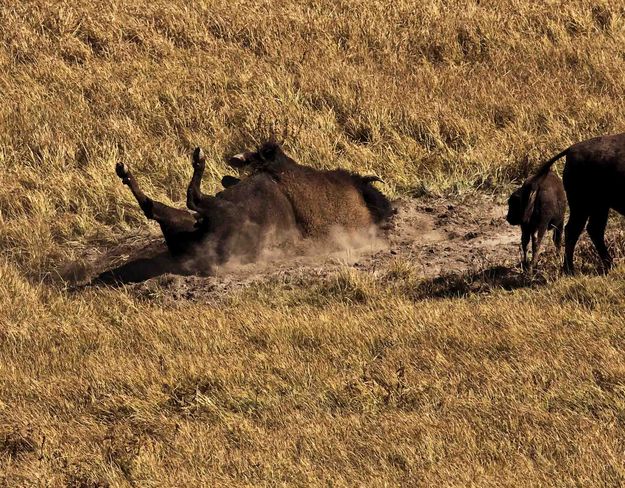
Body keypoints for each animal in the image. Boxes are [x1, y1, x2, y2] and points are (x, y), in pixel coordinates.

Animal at [114, 139, 392, 274]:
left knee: (187, 199)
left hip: (213, 212)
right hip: (184, 221)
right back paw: (124, 171)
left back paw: (197, 159)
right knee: (154, 208)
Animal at [532, 132, 624, 272]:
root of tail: (571, 150)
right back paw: (570, 269)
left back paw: (609, 265)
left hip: (599, 206)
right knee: (574, 229)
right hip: (583, 205)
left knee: (593, 229)